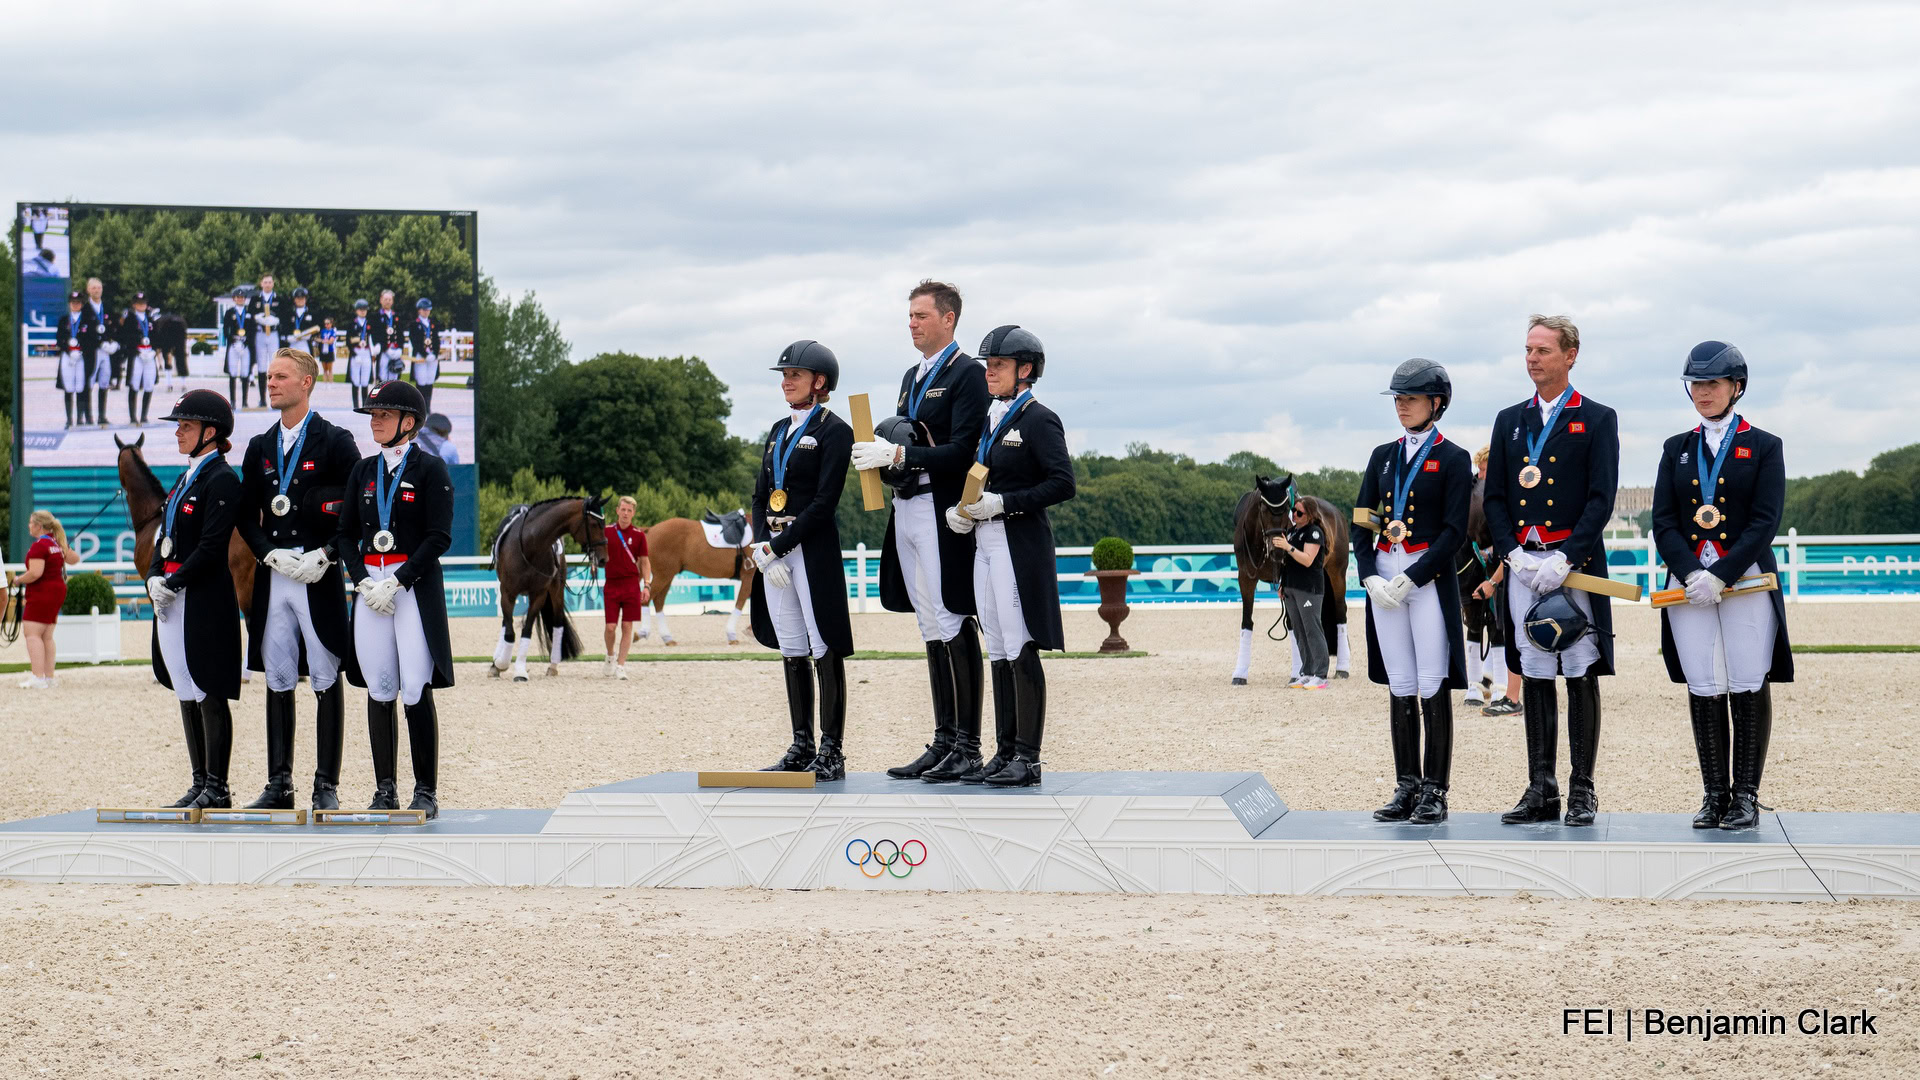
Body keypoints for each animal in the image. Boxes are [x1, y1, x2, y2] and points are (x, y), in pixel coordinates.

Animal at [487, 495, 606, 680]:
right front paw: (501, 664)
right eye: (594, 523)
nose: (603, 558)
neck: (530, 544)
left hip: (556, 591)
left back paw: (553, 665)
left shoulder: (539, 595)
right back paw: (496, 663)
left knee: (557, 624)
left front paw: (519, 671)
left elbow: (526, 630)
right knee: (506, 624)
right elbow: (509, 631)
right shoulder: (508, 593)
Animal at [1228, 470, 1351, 680]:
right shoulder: (1245, 578)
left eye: (1288, 510)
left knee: (1340, 612)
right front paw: (1240, 674)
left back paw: (1342, 668)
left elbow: (1292, 624)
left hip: (1337, 573)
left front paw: (1296, 673)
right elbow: (1247, 621)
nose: (1278, 550)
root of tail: (1337, 513)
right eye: (1263, 508)